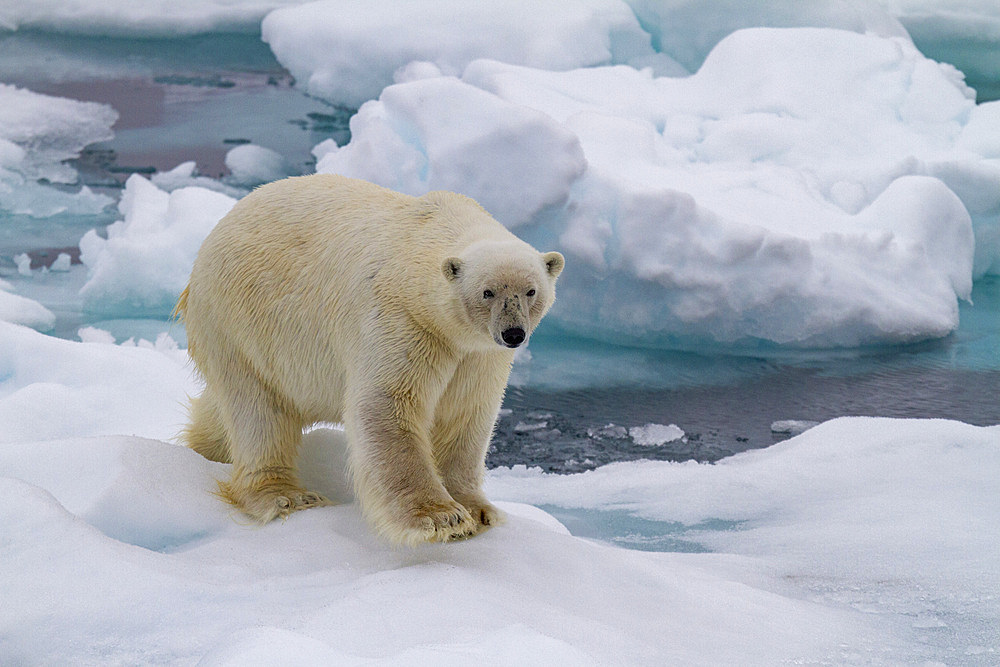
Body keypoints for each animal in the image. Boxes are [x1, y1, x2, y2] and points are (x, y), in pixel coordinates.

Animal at [178, 175, 564, 544]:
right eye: (487, 292)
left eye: (531, 291)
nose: (513, 334)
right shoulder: (405, 321)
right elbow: (388, 404)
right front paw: (440, 518)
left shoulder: (478, 355)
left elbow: (465, 414)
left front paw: (478, 510)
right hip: (241, 322)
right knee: (257, 413)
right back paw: (287, 496)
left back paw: (205, 448)